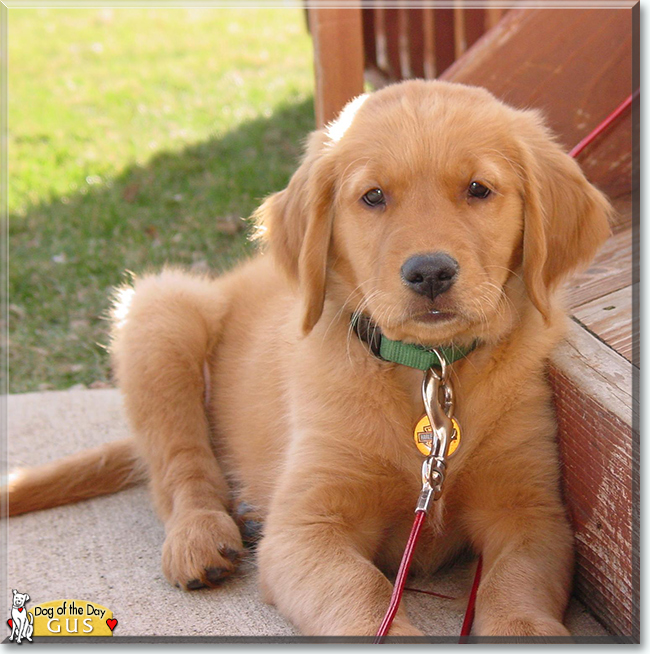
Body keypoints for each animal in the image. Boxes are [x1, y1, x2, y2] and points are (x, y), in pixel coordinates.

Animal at [7, 79, 612, 640]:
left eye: (479, 189)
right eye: (373, 197)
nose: (430, 273)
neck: (428, 370)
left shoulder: (531, 511)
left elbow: (516, 586)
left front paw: (525, 628)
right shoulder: (305, 527)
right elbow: (362, 595)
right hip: (163, 311)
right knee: (180, 462)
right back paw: (200, 535)